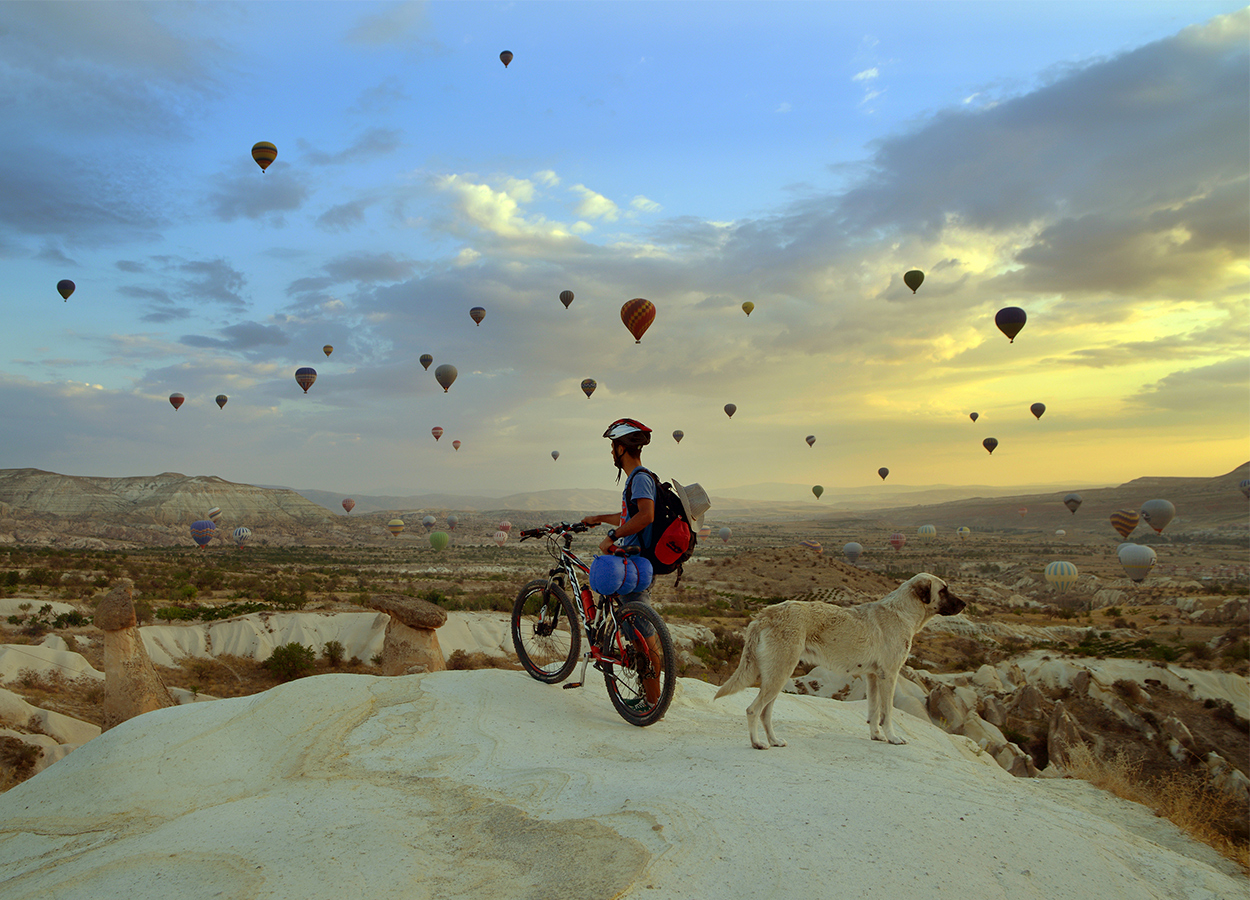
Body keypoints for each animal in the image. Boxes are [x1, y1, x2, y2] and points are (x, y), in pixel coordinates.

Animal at [715, 572, 965, 750]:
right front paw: (893, 738)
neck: (902, 611)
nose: (964, 604)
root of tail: (764, 614)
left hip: (777, 676)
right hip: (779, 674)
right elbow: (887, 712)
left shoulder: (873, 677)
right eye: (943, 590)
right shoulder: (890, 675)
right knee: (753, 709)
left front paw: (876, 736)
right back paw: (757, 743)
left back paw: (774, 741)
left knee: (765, 712)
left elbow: (874, 711)